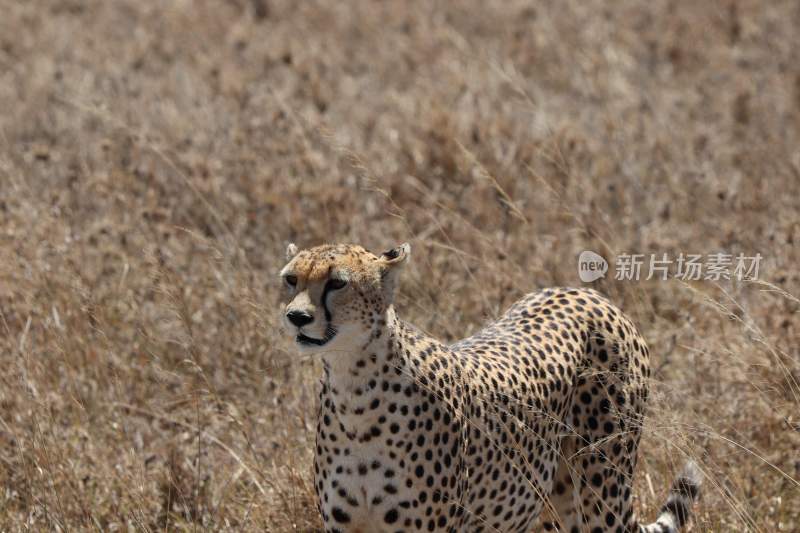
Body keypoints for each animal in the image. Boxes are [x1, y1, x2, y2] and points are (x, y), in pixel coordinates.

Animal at [280, 243, 700, 528]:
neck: (354, 386)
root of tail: (587, 293)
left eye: (337, 283)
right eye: (291, 279)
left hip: (600, 494)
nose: (296, 317)